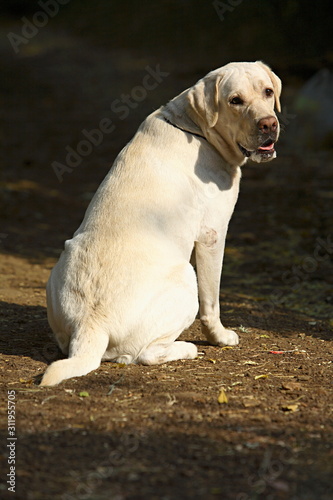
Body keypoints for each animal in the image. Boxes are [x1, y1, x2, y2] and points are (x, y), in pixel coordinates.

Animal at [40, 60, 280, 384]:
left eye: (268, 92)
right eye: (235, 101)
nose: (268, 124)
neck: (196, 128)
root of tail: (91, 325)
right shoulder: (212, 235)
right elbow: (213, 301)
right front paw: (220, 337)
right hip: (186, 278)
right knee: (146, 354)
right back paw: (187, 348)